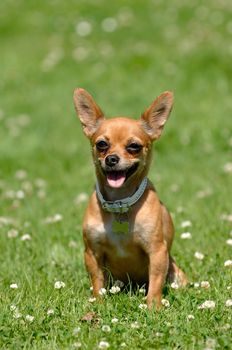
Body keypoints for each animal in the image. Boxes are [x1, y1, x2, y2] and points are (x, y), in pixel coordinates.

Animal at [73, 88, 188, 308]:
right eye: (101, 144)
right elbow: (97, 281)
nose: (111, 159)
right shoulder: (92, 253)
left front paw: (153, 307)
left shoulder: (157, 252)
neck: (120, 203)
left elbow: (156, 282)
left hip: (176, 274)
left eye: (134, 146)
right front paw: (99, 303)